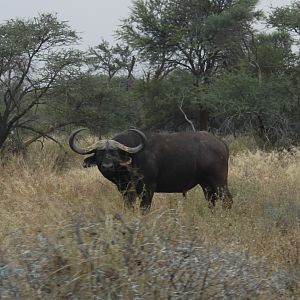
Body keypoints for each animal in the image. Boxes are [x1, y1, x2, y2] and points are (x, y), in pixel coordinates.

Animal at [69, 127, 232, 212]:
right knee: (211, 200)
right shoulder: (125, 190)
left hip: (219, 181)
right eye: (99, 153)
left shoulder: (148, 187)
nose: (107, 166)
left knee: (227, 199)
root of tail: (221, 143)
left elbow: (144, 207)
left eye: (115, 153)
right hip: (205, 184)